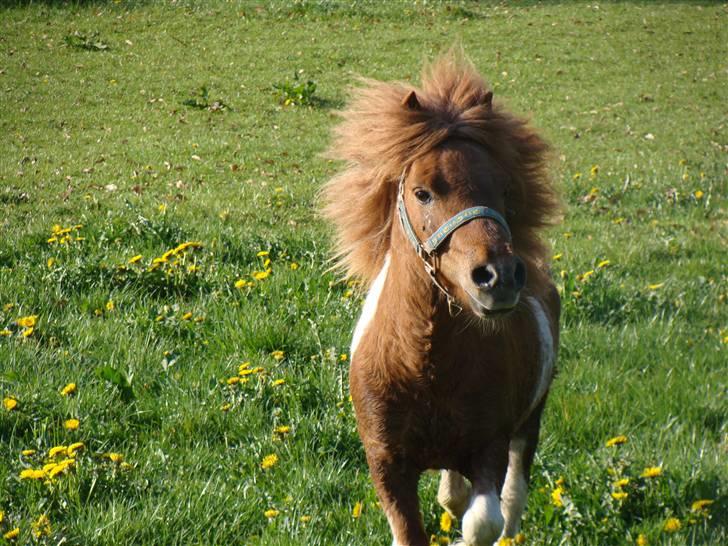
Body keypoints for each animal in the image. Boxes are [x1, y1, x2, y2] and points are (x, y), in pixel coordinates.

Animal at [326, 54, 564, 544]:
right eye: (423, 192)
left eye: (504, 190)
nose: (500, 277)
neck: (423, 365)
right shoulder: (387, 465)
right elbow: (413, 530)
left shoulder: (490, 447)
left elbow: (483, 521)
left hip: (530, 421)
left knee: (513, 495)